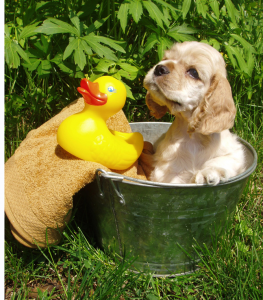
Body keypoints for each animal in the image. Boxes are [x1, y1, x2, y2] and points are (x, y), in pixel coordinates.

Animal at [142, 40, 248, 184]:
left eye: (193, 72)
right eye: (165, 58)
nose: (159, 68)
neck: (194, 137)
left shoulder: (235, 153)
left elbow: (222, 160)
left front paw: (207, 174)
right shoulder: (168, 173)